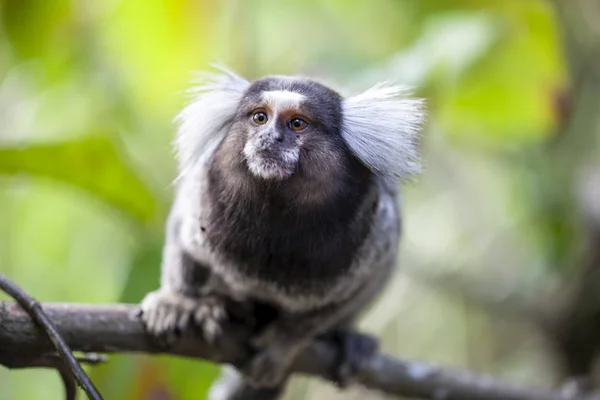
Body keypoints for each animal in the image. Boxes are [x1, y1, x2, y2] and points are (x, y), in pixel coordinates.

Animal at [139, 64, 424, 398]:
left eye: (297, 124)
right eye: (260, 117)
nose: (270, 138)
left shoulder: (375, 240)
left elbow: (344, 298)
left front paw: (281, 346)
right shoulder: (200, 197)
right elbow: (181, 239)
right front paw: (176, 301)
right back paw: (217, 306)